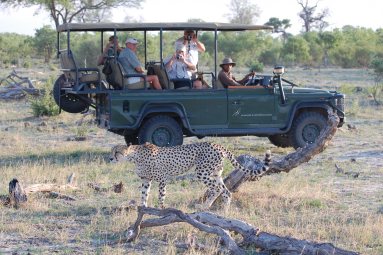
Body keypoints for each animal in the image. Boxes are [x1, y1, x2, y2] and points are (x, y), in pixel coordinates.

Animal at [110, 142, 272, 212]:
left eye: (117, 152)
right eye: (112, 151)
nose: (110, 158)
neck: (134, 156)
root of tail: (218, 145)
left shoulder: (163, 177)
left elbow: (161, 195)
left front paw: (163, 207)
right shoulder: (145, 179)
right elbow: (144, 195)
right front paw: (144, 208)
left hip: (202, 172)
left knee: (216, 189)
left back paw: (204, 207)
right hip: (216, 173)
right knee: (226, 191)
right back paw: (224, 211)